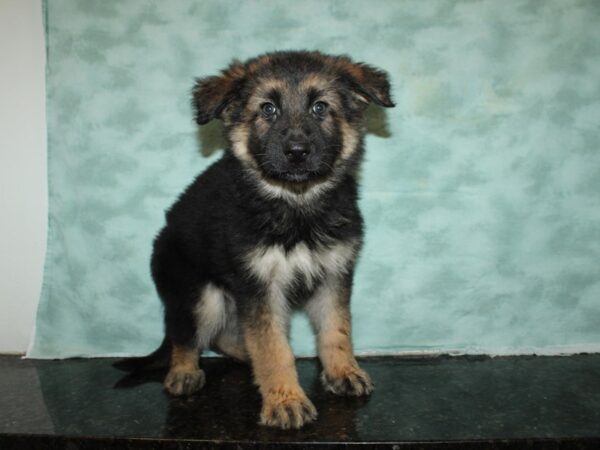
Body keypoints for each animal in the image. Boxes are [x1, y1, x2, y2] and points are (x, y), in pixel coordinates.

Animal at [119, 51, 396, 430]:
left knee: (222, 337)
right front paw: (285, 400)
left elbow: (336, 331)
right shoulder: (259, 287)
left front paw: (342, 372)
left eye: (320, 108)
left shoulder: (333, 277)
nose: (297, 151)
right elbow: (273, 348)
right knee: (184, 334)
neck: (295, 205)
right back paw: (184, 371)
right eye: (268, 109)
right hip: (200, 295)